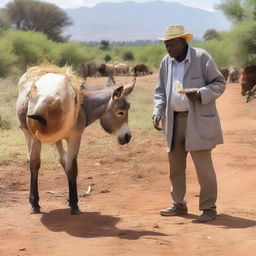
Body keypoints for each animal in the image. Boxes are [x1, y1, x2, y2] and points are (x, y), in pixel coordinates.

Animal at [16, 63, 136, 214]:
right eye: (120, 112)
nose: (128, 136)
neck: (84, 104)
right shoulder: (75, 137)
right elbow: (72, 168)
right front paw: (74, 203)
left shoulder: (60, 137)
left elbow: (65, 162)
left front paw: (69, 200)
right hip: (34, 136)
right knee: (35, 163)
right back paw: (35, 202)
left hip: (32, 135)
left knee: (35, 162)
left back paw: (35, 202)